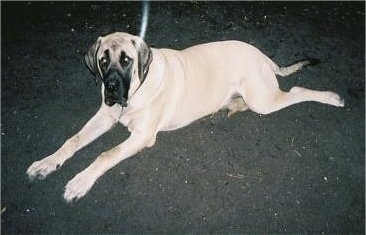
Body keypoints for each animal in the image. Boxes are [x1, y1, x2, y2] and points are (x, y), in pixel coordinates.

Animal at [27, 32, 344, 202]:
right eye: (103, 60)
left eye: (126, 60)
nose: (111, 89)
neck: (137, 89)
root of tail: (262, 55)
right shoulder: (106, 115)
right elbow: (73, 140)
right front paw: (46, 163)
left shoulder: (142, 136)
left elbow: (105, 154)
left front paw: (80, 182)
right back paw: (229, 106)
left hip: (264, 100)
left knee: (297, 91)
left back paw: (332, 97)